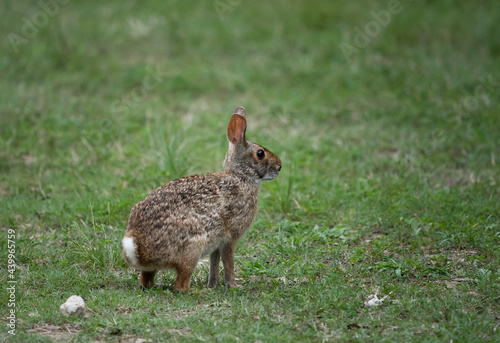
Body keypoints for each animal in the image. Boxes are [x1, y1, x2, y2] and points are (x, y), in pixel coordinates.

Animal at [121, 107, 282, 292]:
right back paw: (196, 292)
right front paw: (234, 286)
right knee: (181, 285)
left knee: (146, 280)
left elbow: (214, 263)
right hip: (193, 248)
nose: (279, 166)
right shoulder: (229, 238)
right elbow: (228, 263)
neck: (241, 176)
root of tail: (137, 247)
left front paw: (213, 284)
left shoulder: (216, 243)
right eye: (260, 153)